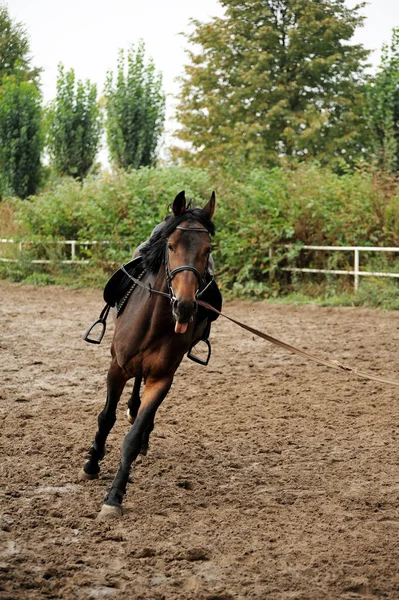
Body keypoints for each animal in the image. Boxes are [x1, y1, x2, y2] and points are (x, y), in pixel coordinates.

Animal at [80, 191, 219, 516]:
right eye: (171, 245)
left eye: (207, 249)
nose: (185, 306)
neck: (154, 320)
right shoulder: (116, 367)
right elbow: (106, 418)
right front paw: (92, 463)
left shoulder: (162, 378)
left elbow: (131, 439)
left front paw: (115, 496)